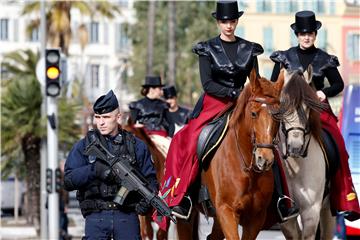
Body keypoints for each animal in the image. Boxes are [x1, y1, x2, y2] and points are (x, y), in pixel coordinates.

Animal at [177, 68, 284, 240]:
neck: (248, 170)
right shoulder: (226, 211)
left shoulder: (256, 217)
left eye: (278, 115)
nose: (265, 159)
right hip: (187, 218)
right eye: (253, 113)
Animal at [278, 67, 336, 240]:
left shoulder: (311, 212)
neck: (297, 168)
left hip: (327, 211)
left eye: (308, 107)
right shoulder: (287, 216)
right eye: (283, 104)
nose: (295, 147)